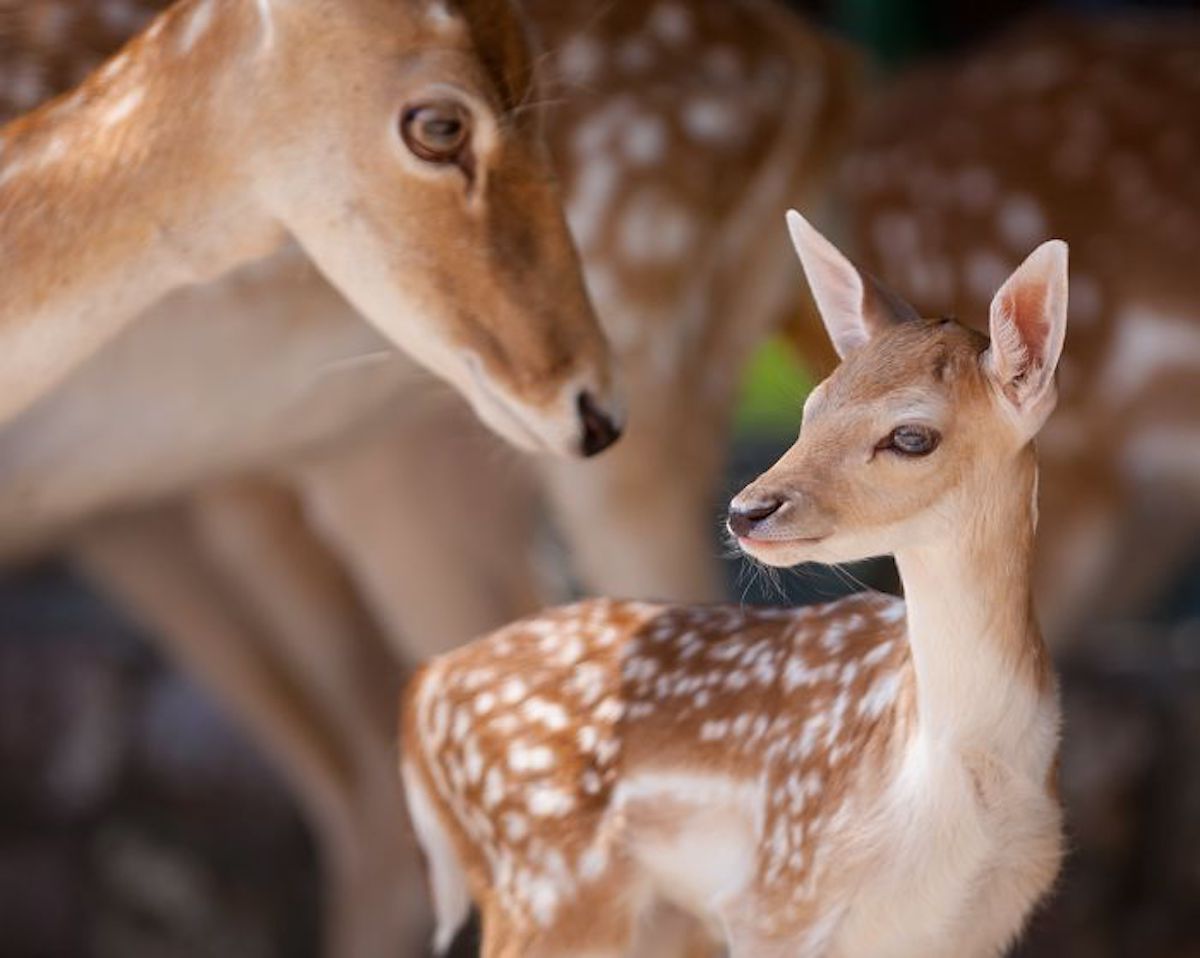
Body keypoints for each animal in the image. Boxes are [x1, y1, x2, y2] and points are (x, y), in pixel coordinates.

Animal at [405, 216, 1070, 958]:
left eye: (911, 436)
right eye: (812, 405)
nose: (747, 509)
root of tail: (424, 689)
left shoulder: (974, 924)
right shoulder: (775, 898)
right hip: (547, 884)